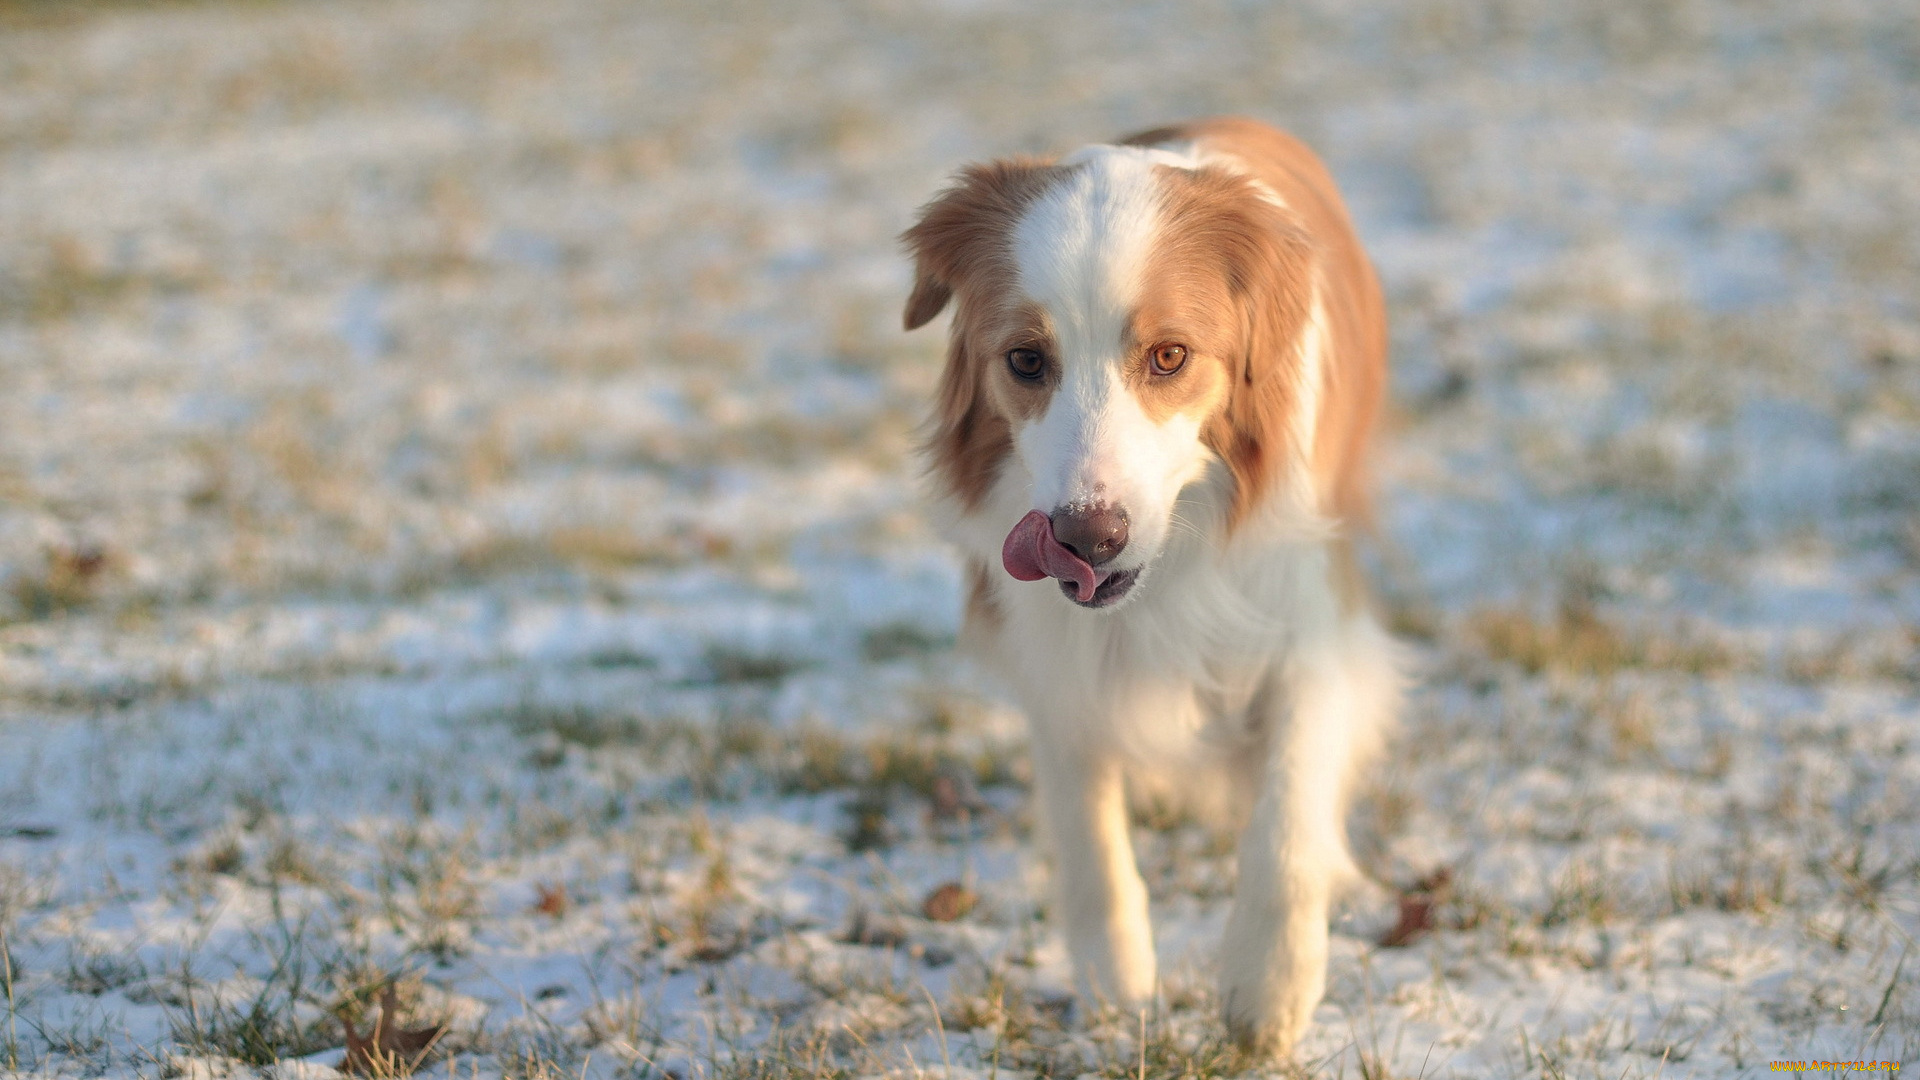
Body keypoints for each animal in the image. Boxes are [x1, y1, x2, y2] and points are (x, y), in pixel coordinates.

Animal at [898, 117, 1397, 1053]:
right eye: (1026, 359)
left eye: (1170, 356)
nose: (1086, 539)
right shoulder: (1051, 656)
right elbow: (1088, 832)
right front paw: (1116, 986)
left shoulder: (1310, 615)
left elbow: (1288, 815)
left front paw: (1268, 991)